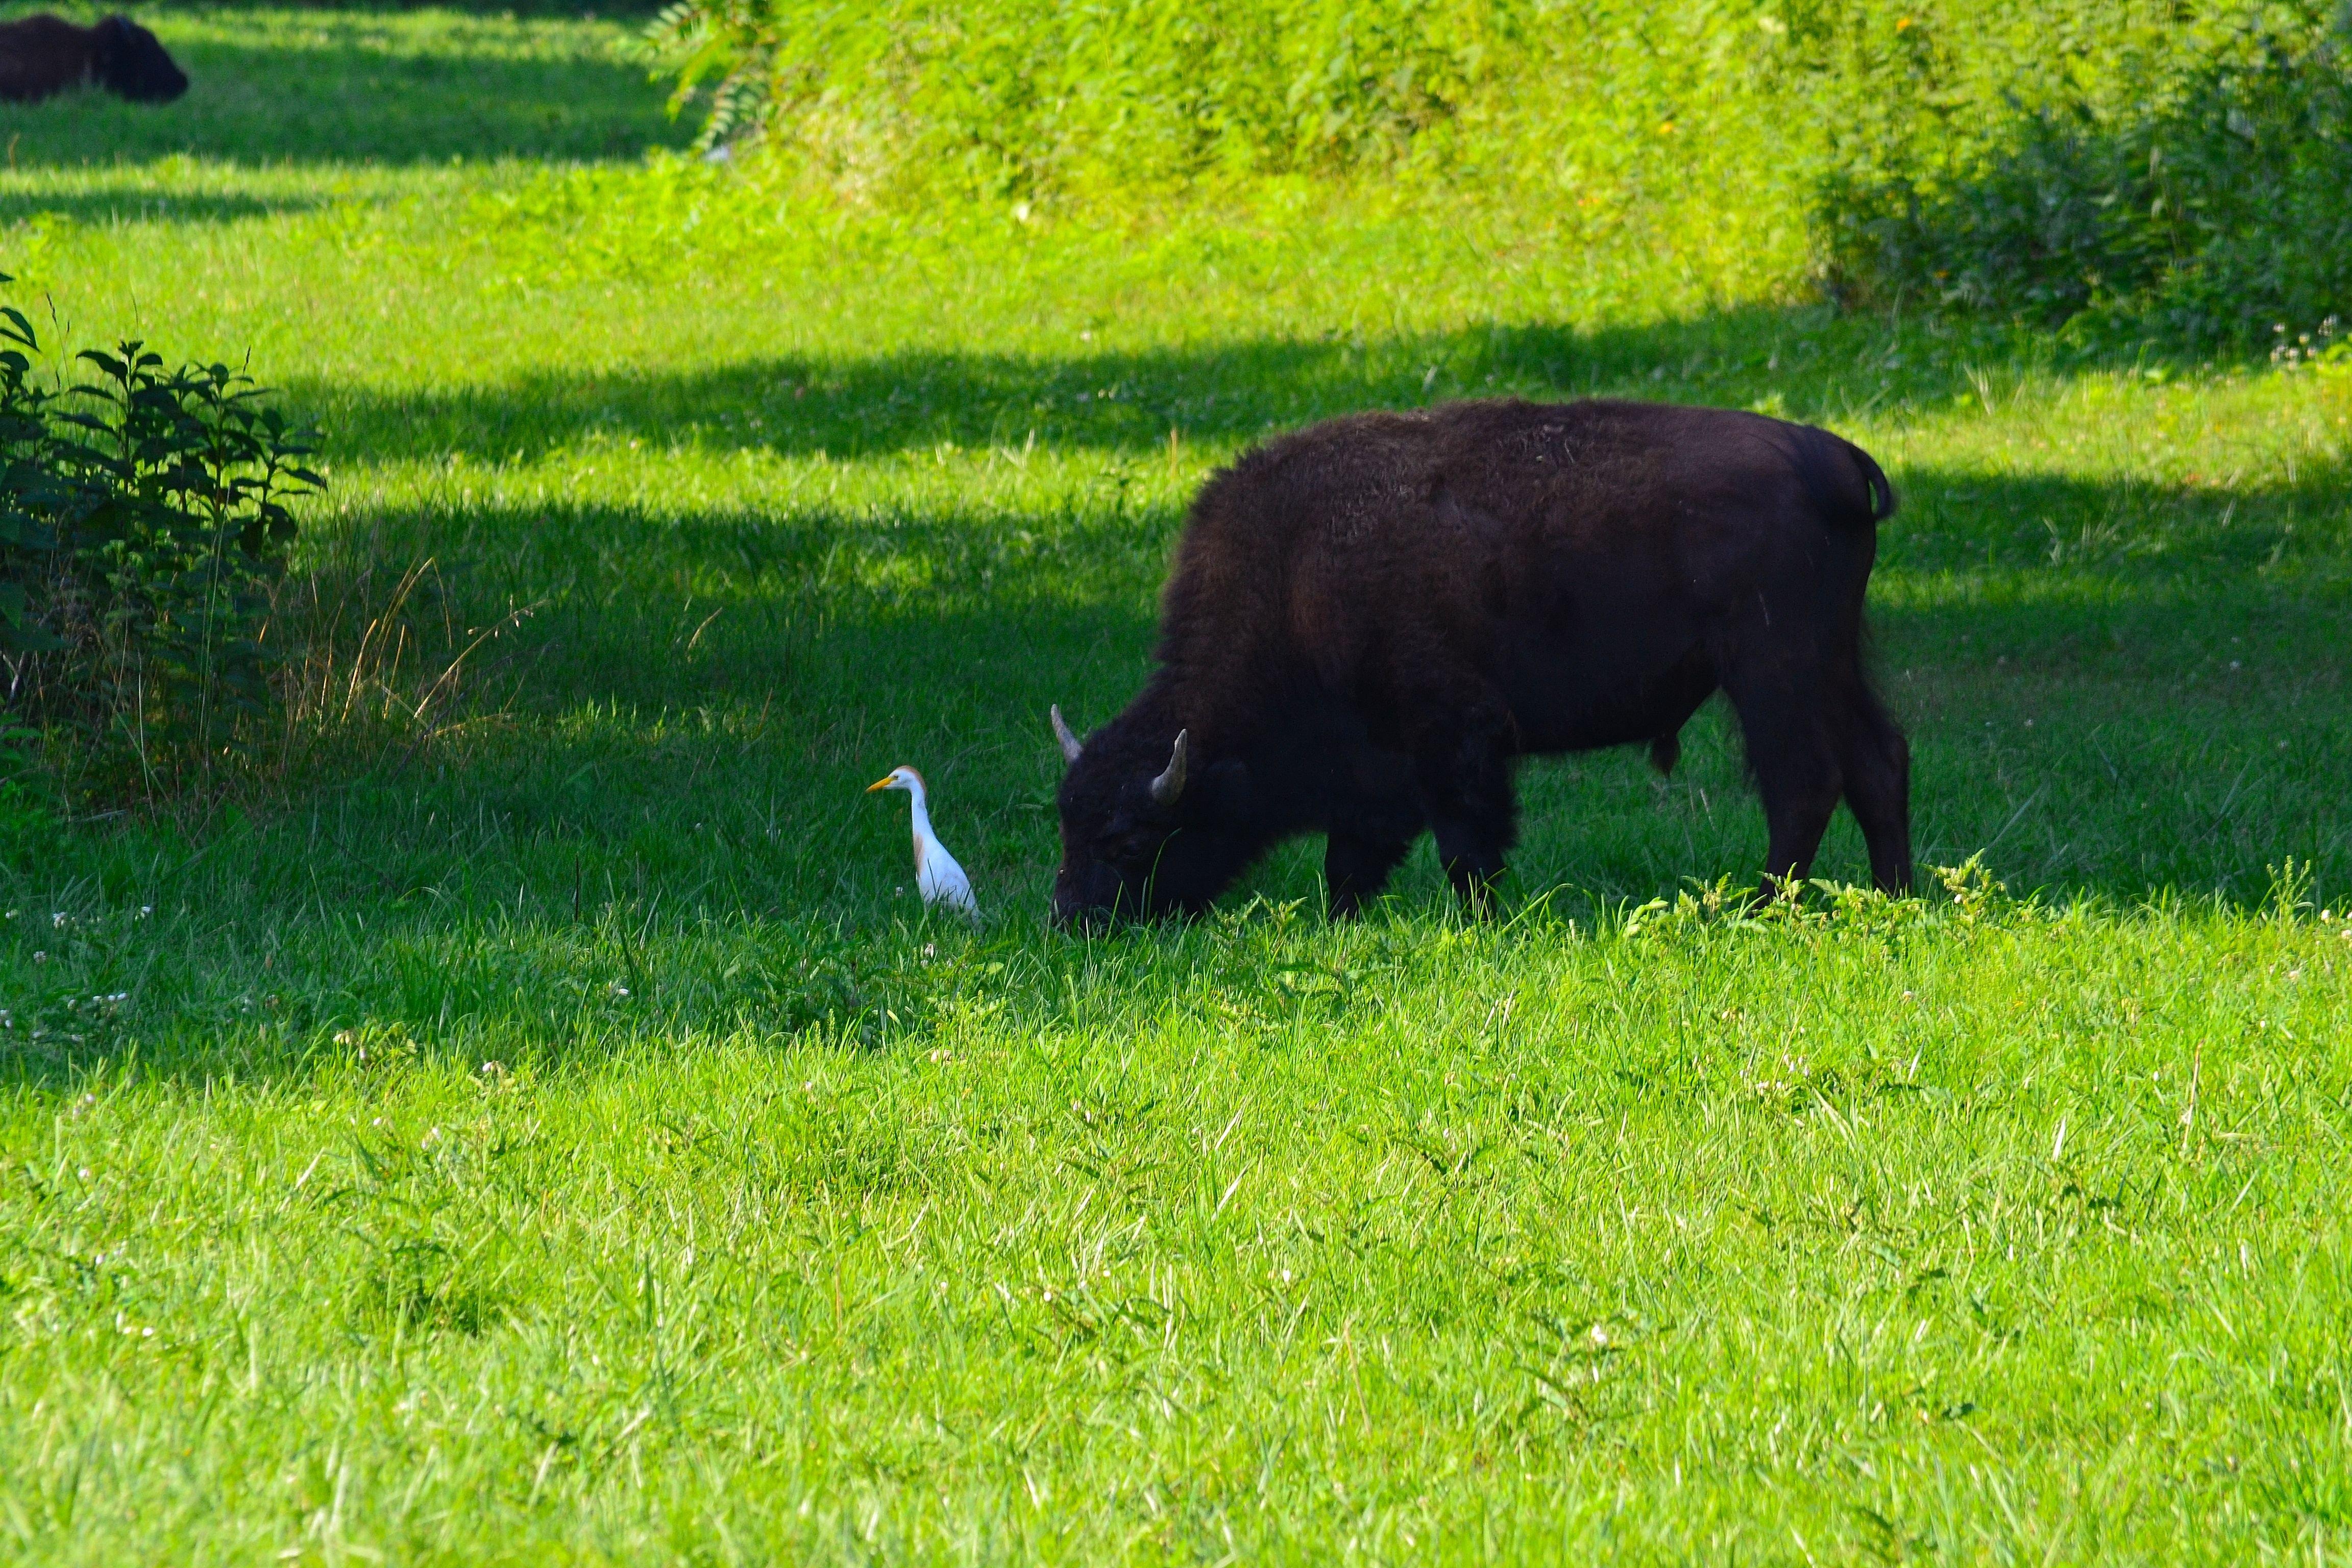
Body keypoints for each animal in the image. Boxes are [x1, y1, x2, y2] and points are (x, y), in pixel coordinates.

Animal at [1050, 397, 1912, 924]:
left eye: (1130, 842)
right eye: (1066, 823)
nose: (1073, 922)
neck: (1294, 573)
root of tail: (1836, 458)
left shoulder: (1453, 739)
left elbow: (1466, 848)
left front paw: (1480, 926)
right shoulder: (1377, 778)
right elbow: (1350, 862)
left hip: (1772, 672)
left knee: (1804, 782)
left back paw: (1761, 909)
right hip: (1832, 662)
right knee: (1879, 762)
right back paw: (1894, 899)